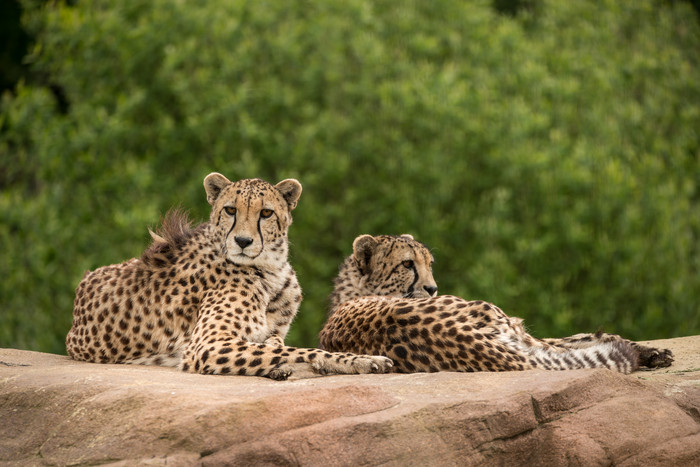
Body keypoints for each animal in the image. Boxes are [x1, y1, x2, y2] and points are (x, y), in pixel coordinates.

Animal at [65, 173, 394, 380]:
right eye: (230, 209)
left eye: (266, 213)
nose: (243, 241)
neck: (272, 271)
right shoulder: (207, 345)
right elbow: (304, 351)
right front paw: (364, 360)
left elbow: (276, 345)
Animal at [320, 236, 676, 374]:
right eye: (408, 264)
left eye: (429, 263)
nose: (433, 288)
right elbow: (585, 340)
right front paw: (647, 351)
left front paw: (653, 351)